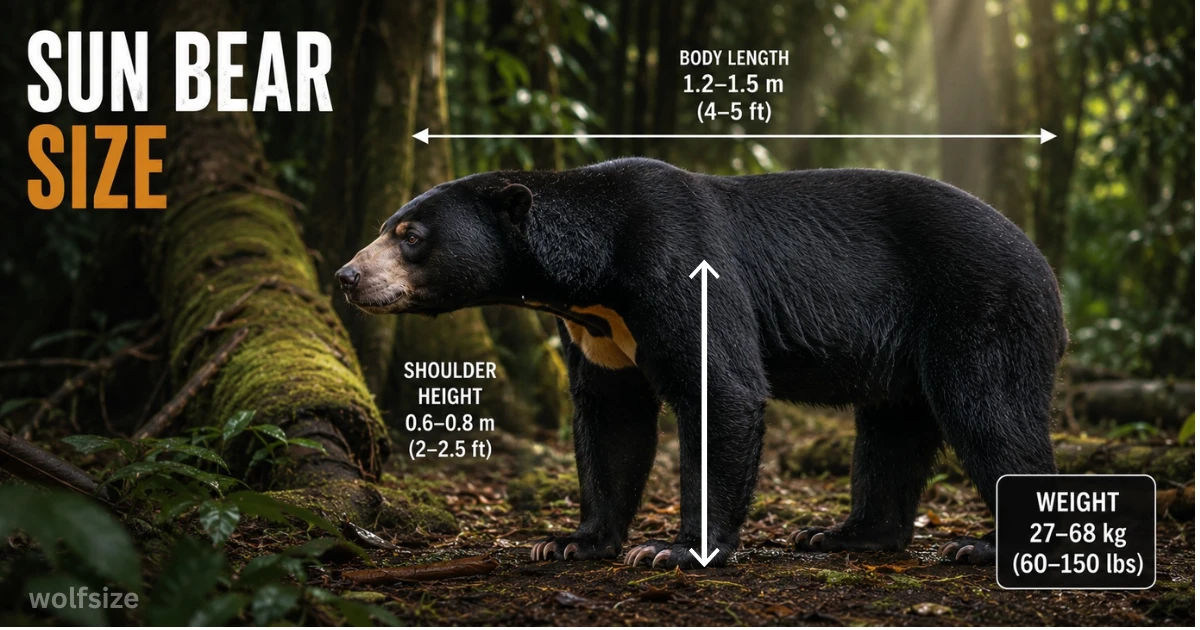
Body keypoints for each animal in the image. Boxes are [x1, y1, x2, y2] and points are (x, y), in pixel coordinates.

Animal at [335, 157, 1065, 569]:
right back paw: (842, 535)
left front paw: (675, 550)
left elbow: (721, 388)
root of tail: (1046, 265)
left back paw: (984, 546)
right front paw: (570, 542)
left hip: (979, 305)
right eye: (384, 227)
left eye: (410, 236)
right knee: (892, 430)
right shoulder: (599, 330)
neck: (593, 279)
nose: (346, 276)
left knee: (990, 414)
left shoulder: (679, 264)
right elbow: (612, 419)